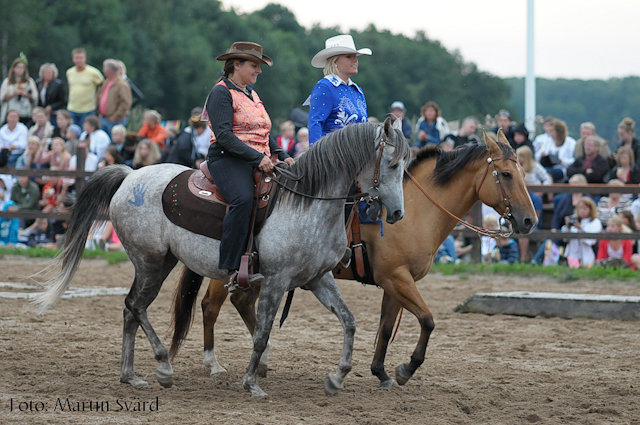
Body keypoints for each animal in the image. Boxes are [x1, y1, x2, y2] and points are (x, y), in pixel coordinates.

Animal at [32, 117, 410, 398]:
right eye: (392, 164)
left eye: (405, 166)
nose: (396, 213)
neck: (306, 203)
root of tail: (130, 176)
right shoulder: (276, 281)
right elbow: (262, 332)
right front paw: (251, 382)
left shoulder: (318, 279)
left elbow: (349, 321)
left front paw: (338, 376)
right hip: (150, 262)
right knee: (135, 306)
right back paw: (163, 367)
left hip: (161, 262)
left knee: (130, 309)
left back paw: (131, 375)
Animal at [185, 129, 536, 388]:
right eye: (506, 174)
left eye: (522, 171)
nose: (529, 220)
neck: (415, 210)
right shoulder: (396, 278)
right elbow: (427, 319)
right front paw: (406, 369)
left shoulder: (395, 283)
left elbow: (386, 327)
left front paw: (381, 372)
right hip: (229, 270)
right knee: (211, 306)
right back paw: (215, 363)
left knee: (239, 302)